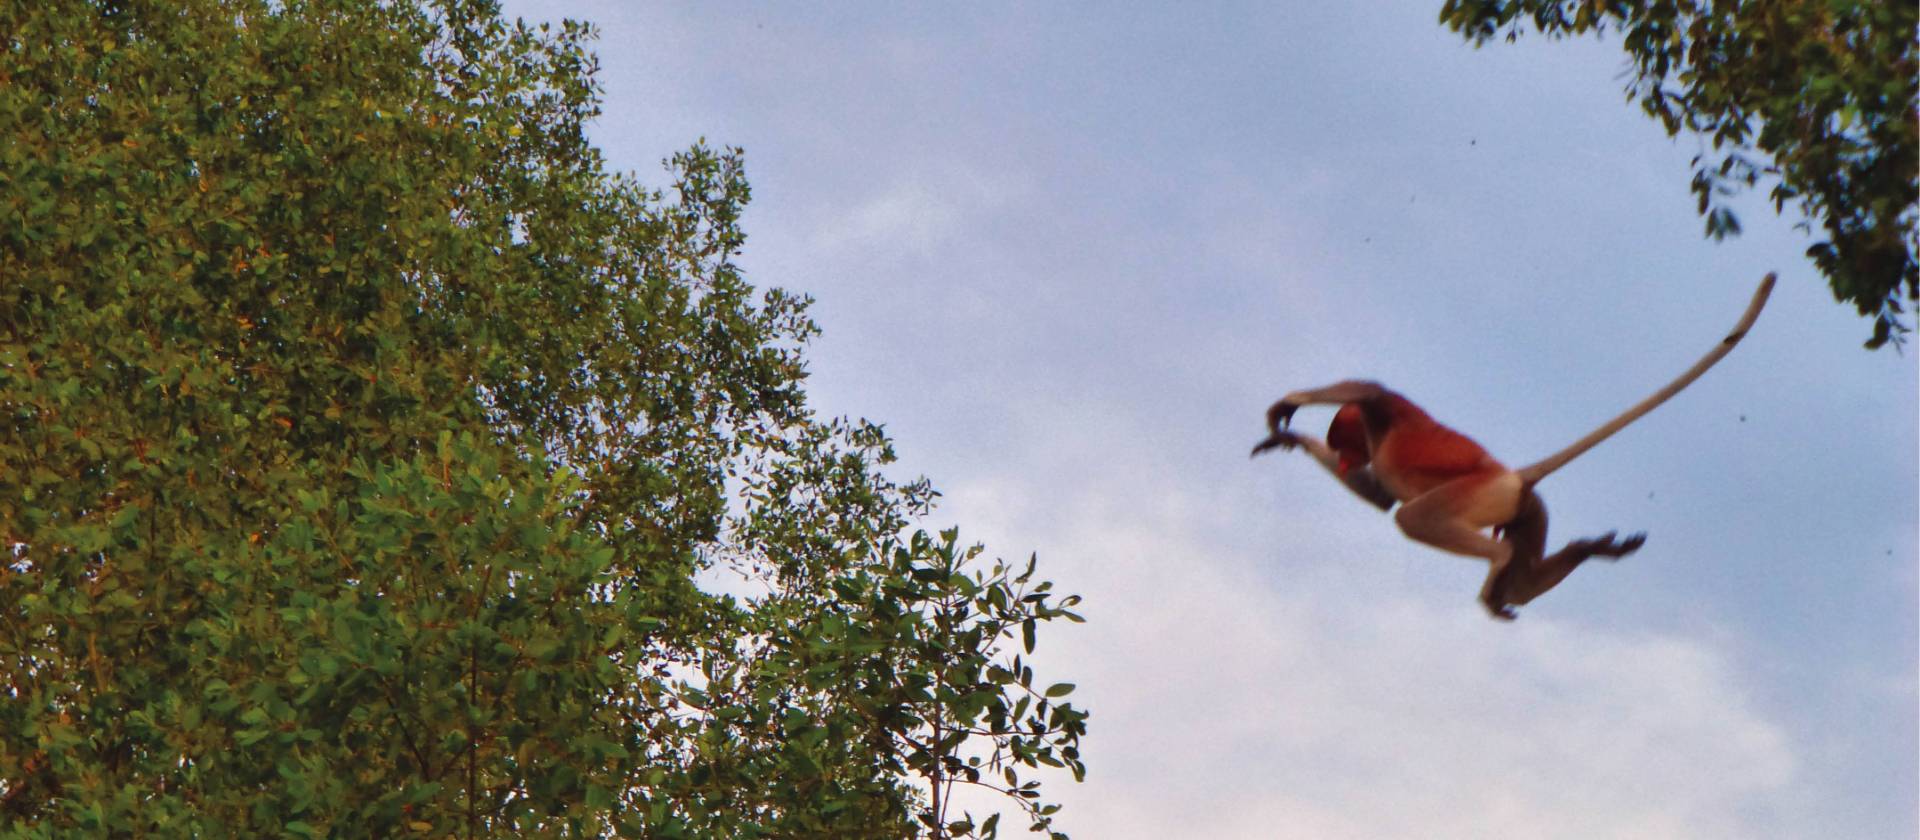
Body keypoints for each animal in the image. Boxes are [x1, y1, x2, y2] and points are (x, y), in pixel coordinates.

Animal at [1252, 273, 1775, 620]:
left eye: (1345, 442)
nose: (1344, 460)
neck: (1374, 435)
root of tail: (1514, 475)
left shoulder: (1392, 414)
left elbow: (1372, 391)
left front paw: (1287, 408)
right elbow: (1379, 497)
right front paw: (1288, 440)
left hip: (1478, 496)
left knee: (1417, 520)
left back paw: (1498, 571)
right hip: (1528, 509)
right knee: (1522, 580)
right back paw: (1589, 550)